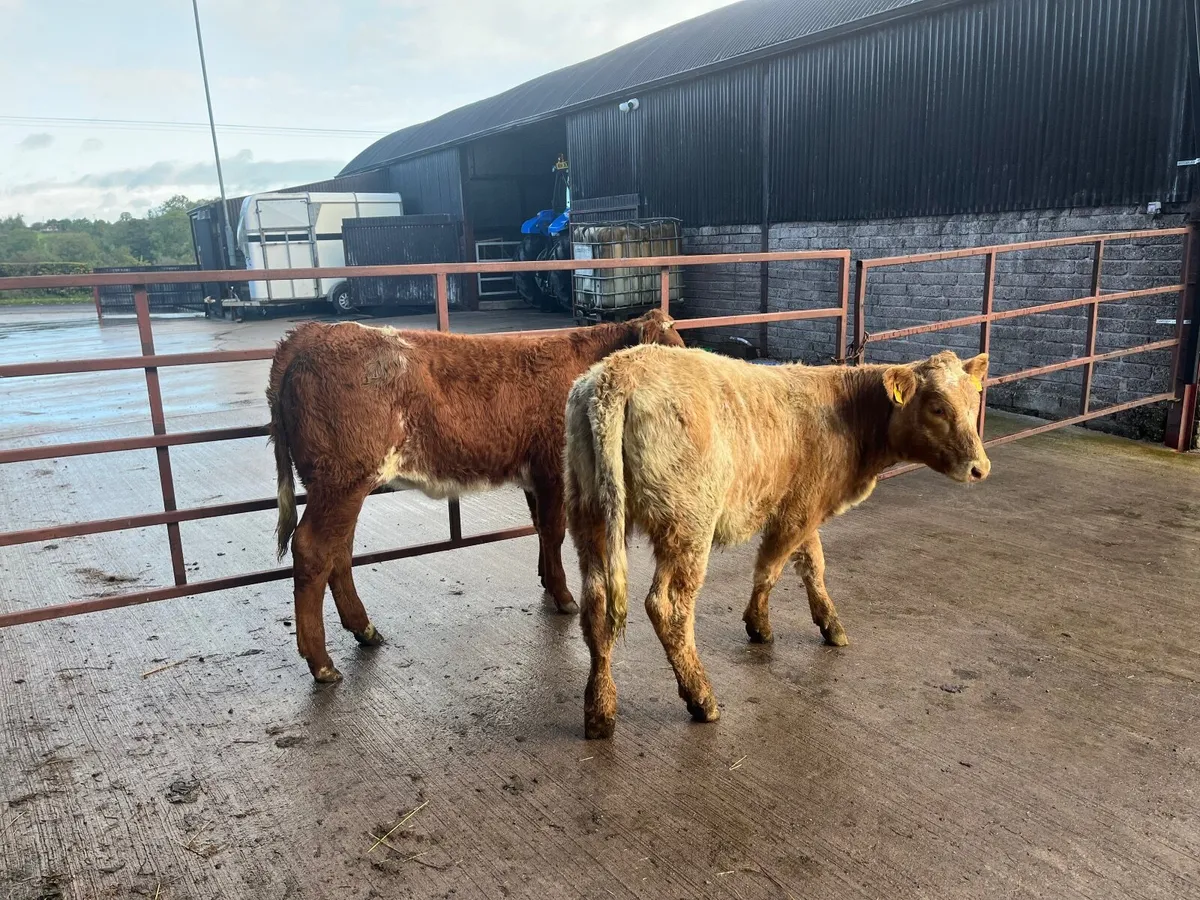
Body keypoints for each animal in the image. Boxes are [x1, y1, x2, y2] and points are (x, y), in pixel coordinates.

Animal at [267, 309, 684, 684]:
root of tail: (314, 333)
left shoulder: (534, 477)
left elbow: (541, 529)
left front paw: (547, 583)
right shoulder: (552, 469)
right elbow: (553, 532)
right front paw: (564, 595)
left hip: (343, 487)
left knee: (339, 551)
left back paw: (364, 630)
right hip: (339, 482)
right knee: (313, 550)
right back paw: (322, 663)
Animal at [564, 346, 991, 738]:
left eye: (974, 403)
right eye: (937, 408)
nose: (980, 468)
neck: (848, 411)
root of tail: (619, 371)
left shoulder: (803, 507)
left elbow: (812, 565)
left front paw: (825, 622)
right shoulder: (798, 511)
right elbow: (771, 567)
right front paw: (760, 624)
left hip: (589, 517)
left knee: (596, 604)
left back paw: (600, 711)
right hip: (686, 527)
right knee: (667, 607)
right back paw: (701, 697)